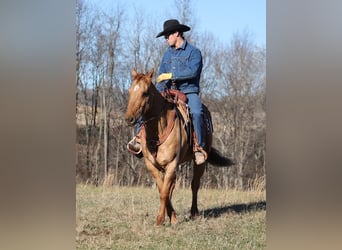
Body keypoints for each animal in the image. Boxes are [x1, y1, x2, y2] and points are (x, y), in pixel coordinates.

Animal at [125, 69, 235, 226]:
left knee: (195, 185)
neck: (158, 131)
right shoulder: (152, 165)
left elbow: (164, 192)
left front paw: (160, 219)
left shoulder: (171, 164)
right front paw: (172, 217)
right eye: (129, 91)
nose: (129, 119)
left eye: (145, 93)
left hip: (199, 163)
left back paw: (194, 212)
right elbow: (163, 189)